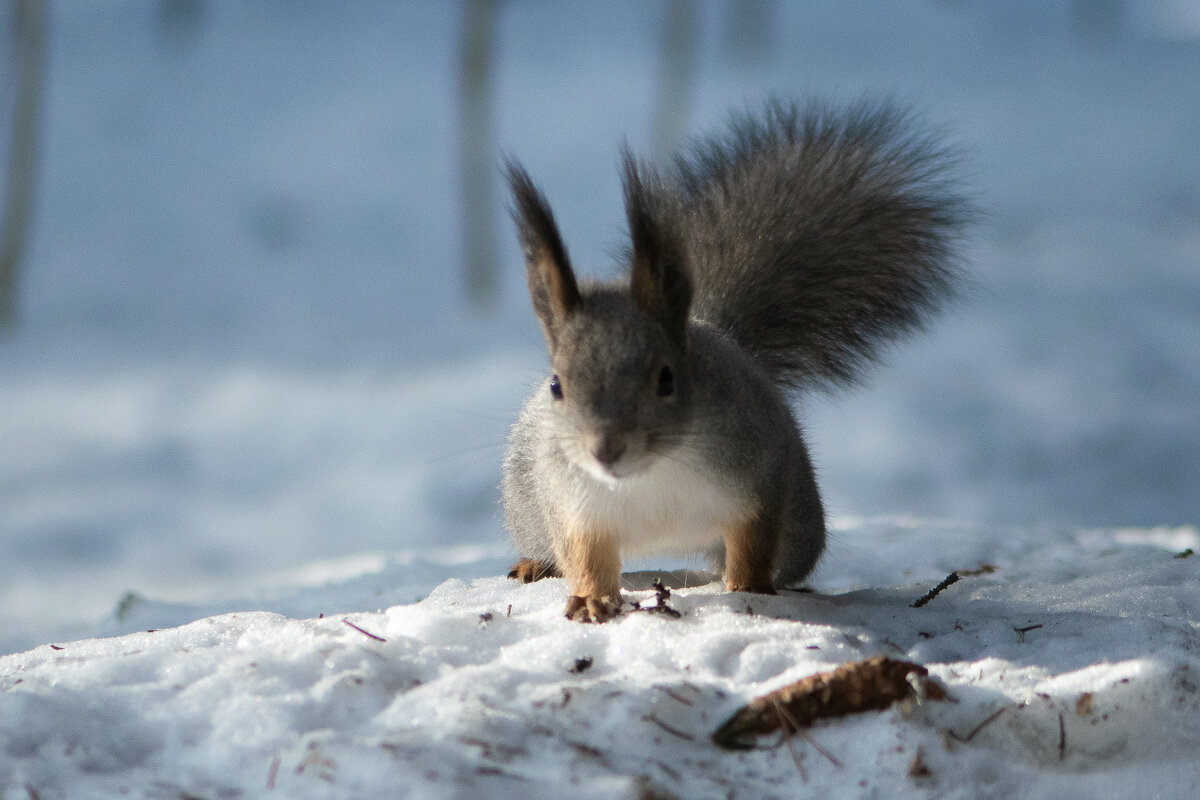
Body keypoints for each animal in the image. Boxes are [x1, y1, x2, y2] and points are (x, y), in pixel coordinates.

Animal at [499, 100, 974, 623]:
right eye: (557, 385)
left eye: (667, 380)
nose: (606, 450)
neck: (650, 472)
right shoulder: (574, 504)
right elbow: (584, 555)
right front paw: (590, 599)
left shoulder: (757, 476)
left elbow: (753, 541)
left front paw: (748, 588)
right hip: (529, 506)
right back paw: (532, 565)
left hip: (800, 525)